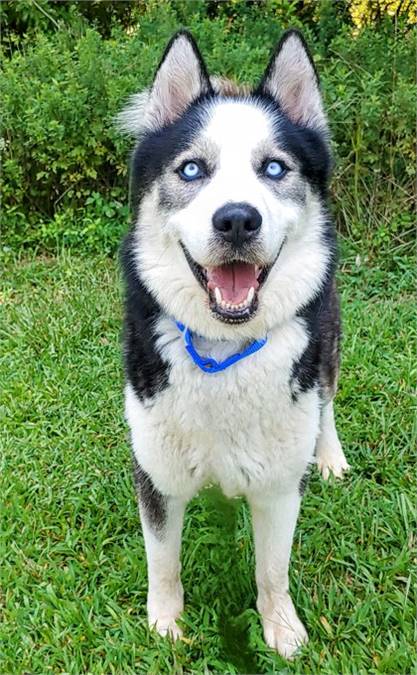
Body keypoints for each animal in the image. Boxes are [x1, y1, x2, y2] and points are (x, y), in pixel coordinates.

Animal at [118, 31, 350, 660]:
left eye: (273, 168)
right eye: (192, 169)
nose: (238, 220)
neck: (225, 349)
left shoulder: (278, 485)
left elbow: (273, 570)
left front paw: (283, 630)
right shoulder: (158, 475)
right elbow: (163, 563)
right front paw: (166, 626)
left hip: (326, 342)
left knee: (326, 401)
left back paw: (330, 455)